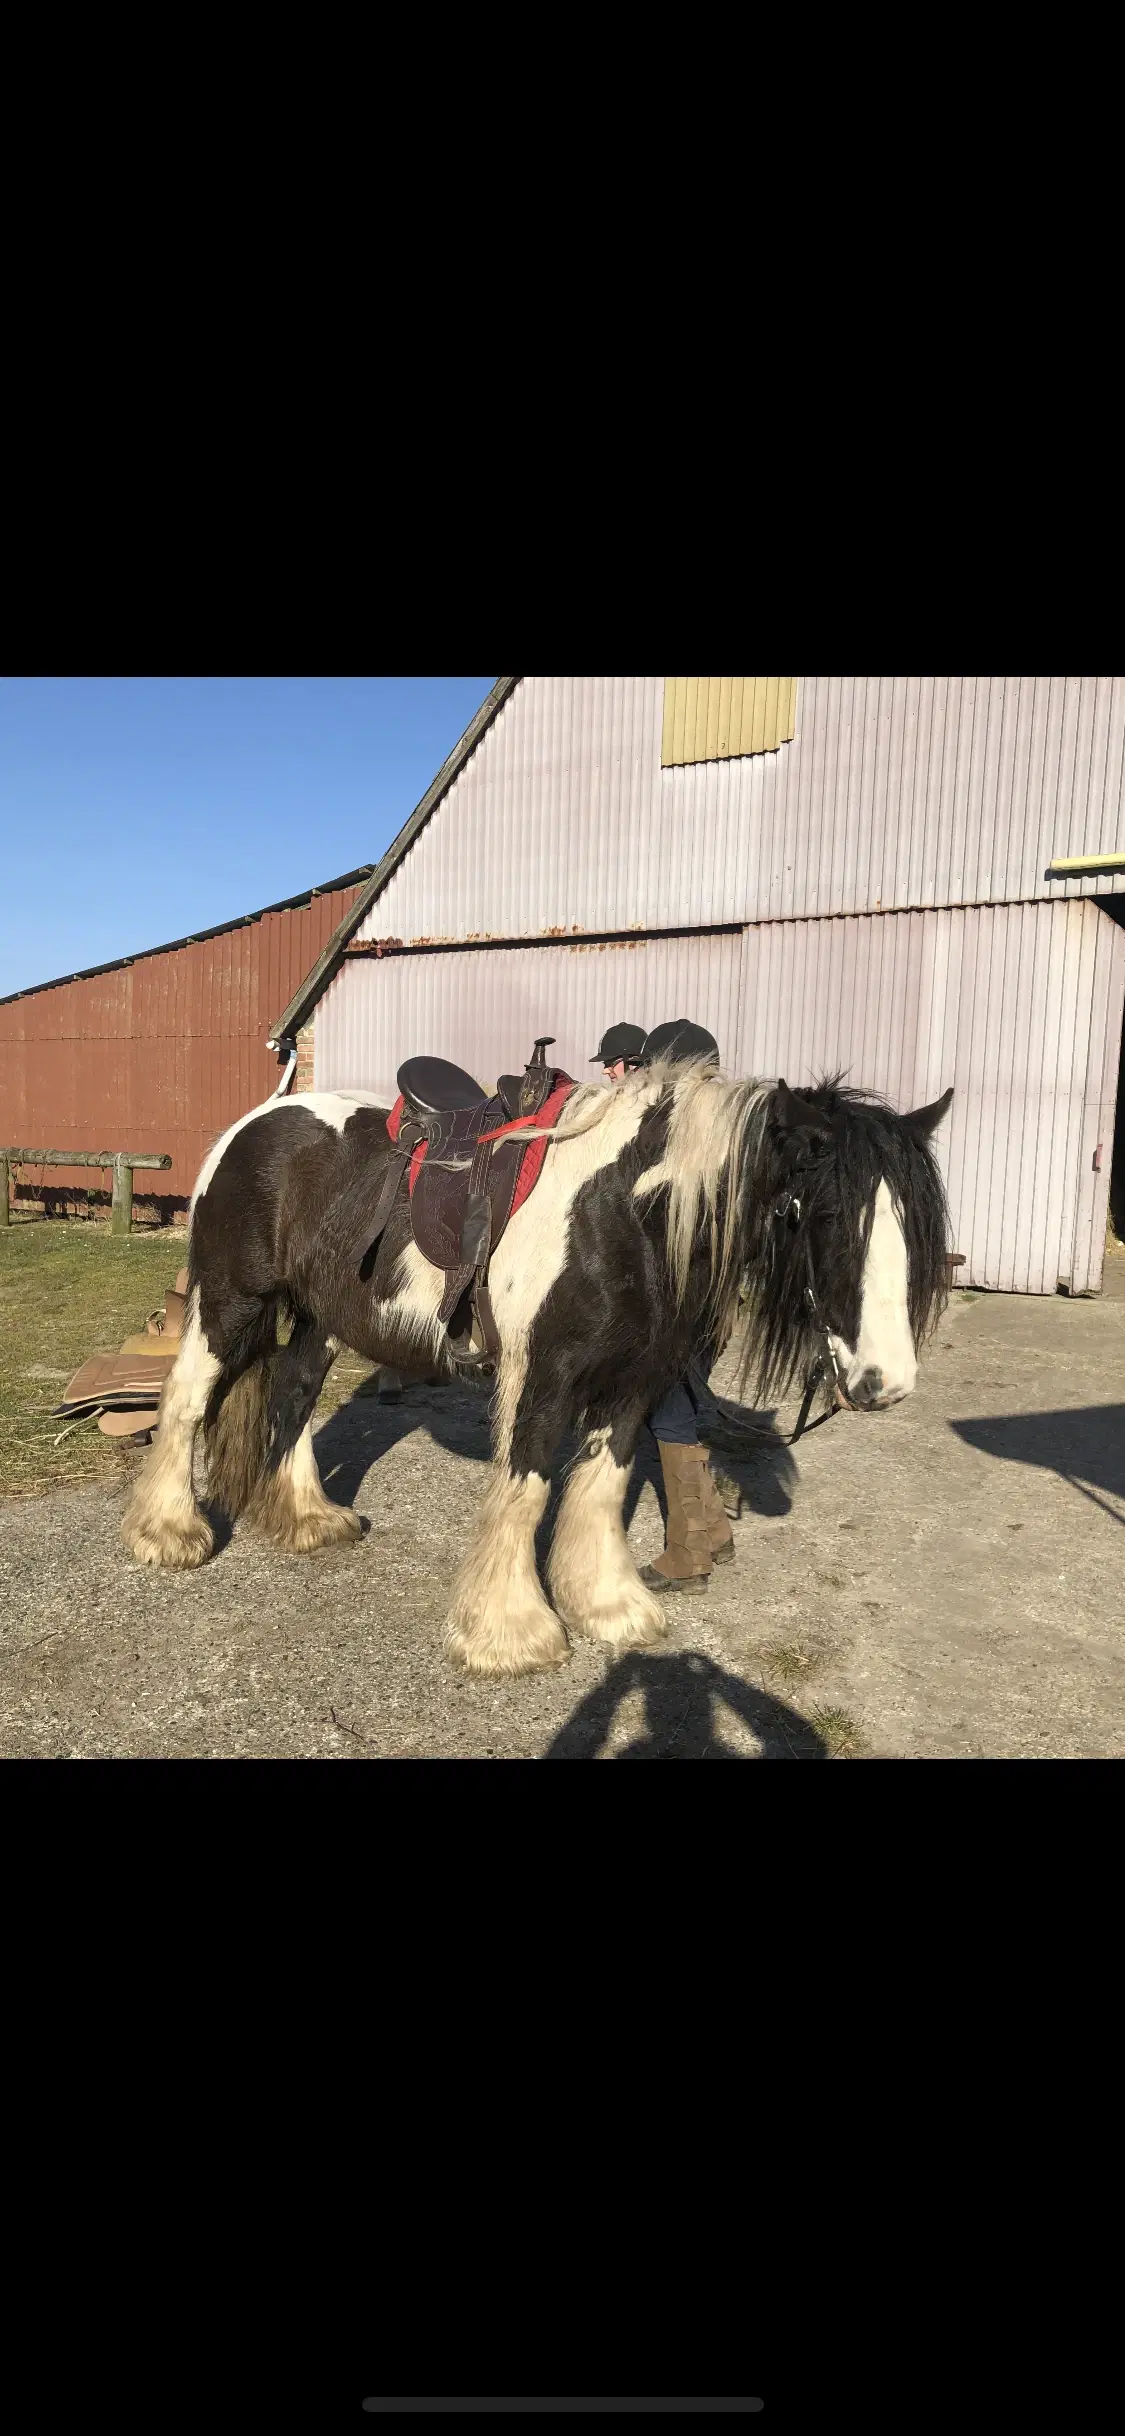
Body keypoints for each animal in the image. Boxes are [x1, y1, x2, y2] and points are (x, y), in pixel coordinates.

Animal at [121, 1066, 949, 1675]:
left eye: (914, 1224)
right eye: (822, 1214)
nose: (886, 1382)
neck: (620, 1215)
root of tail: (250, 1125)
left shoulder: (632, 1383)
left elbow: (601, 1486)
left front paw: (608, 1606)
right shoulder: (543, 1375)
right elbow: (525, 1487)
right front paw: (510, 1633)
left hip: (322, 1316)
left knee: (291, 1396)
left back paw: (308, 1519)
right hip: (230, 1300)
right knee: (187, 1401)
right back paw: (168, 1533)